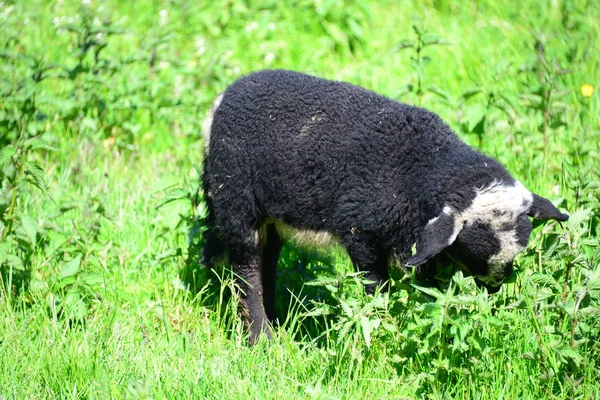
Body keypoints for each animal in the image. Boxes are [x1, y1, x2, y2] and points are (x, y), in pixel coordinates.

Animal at [200, 69, 568, 344]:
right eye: (475, 250)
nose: (494, 288)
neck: (424, 167)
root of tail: (221, 100)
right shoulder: (362, 233)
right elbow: (377, 289)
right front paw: (382, 329)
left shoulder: (423, 239)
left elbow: (431, 287)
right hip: (237, 202)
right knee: (247, 270)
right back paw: (261, 338)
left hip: (271, 215)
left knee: (268, 259)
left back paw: (275, 322)